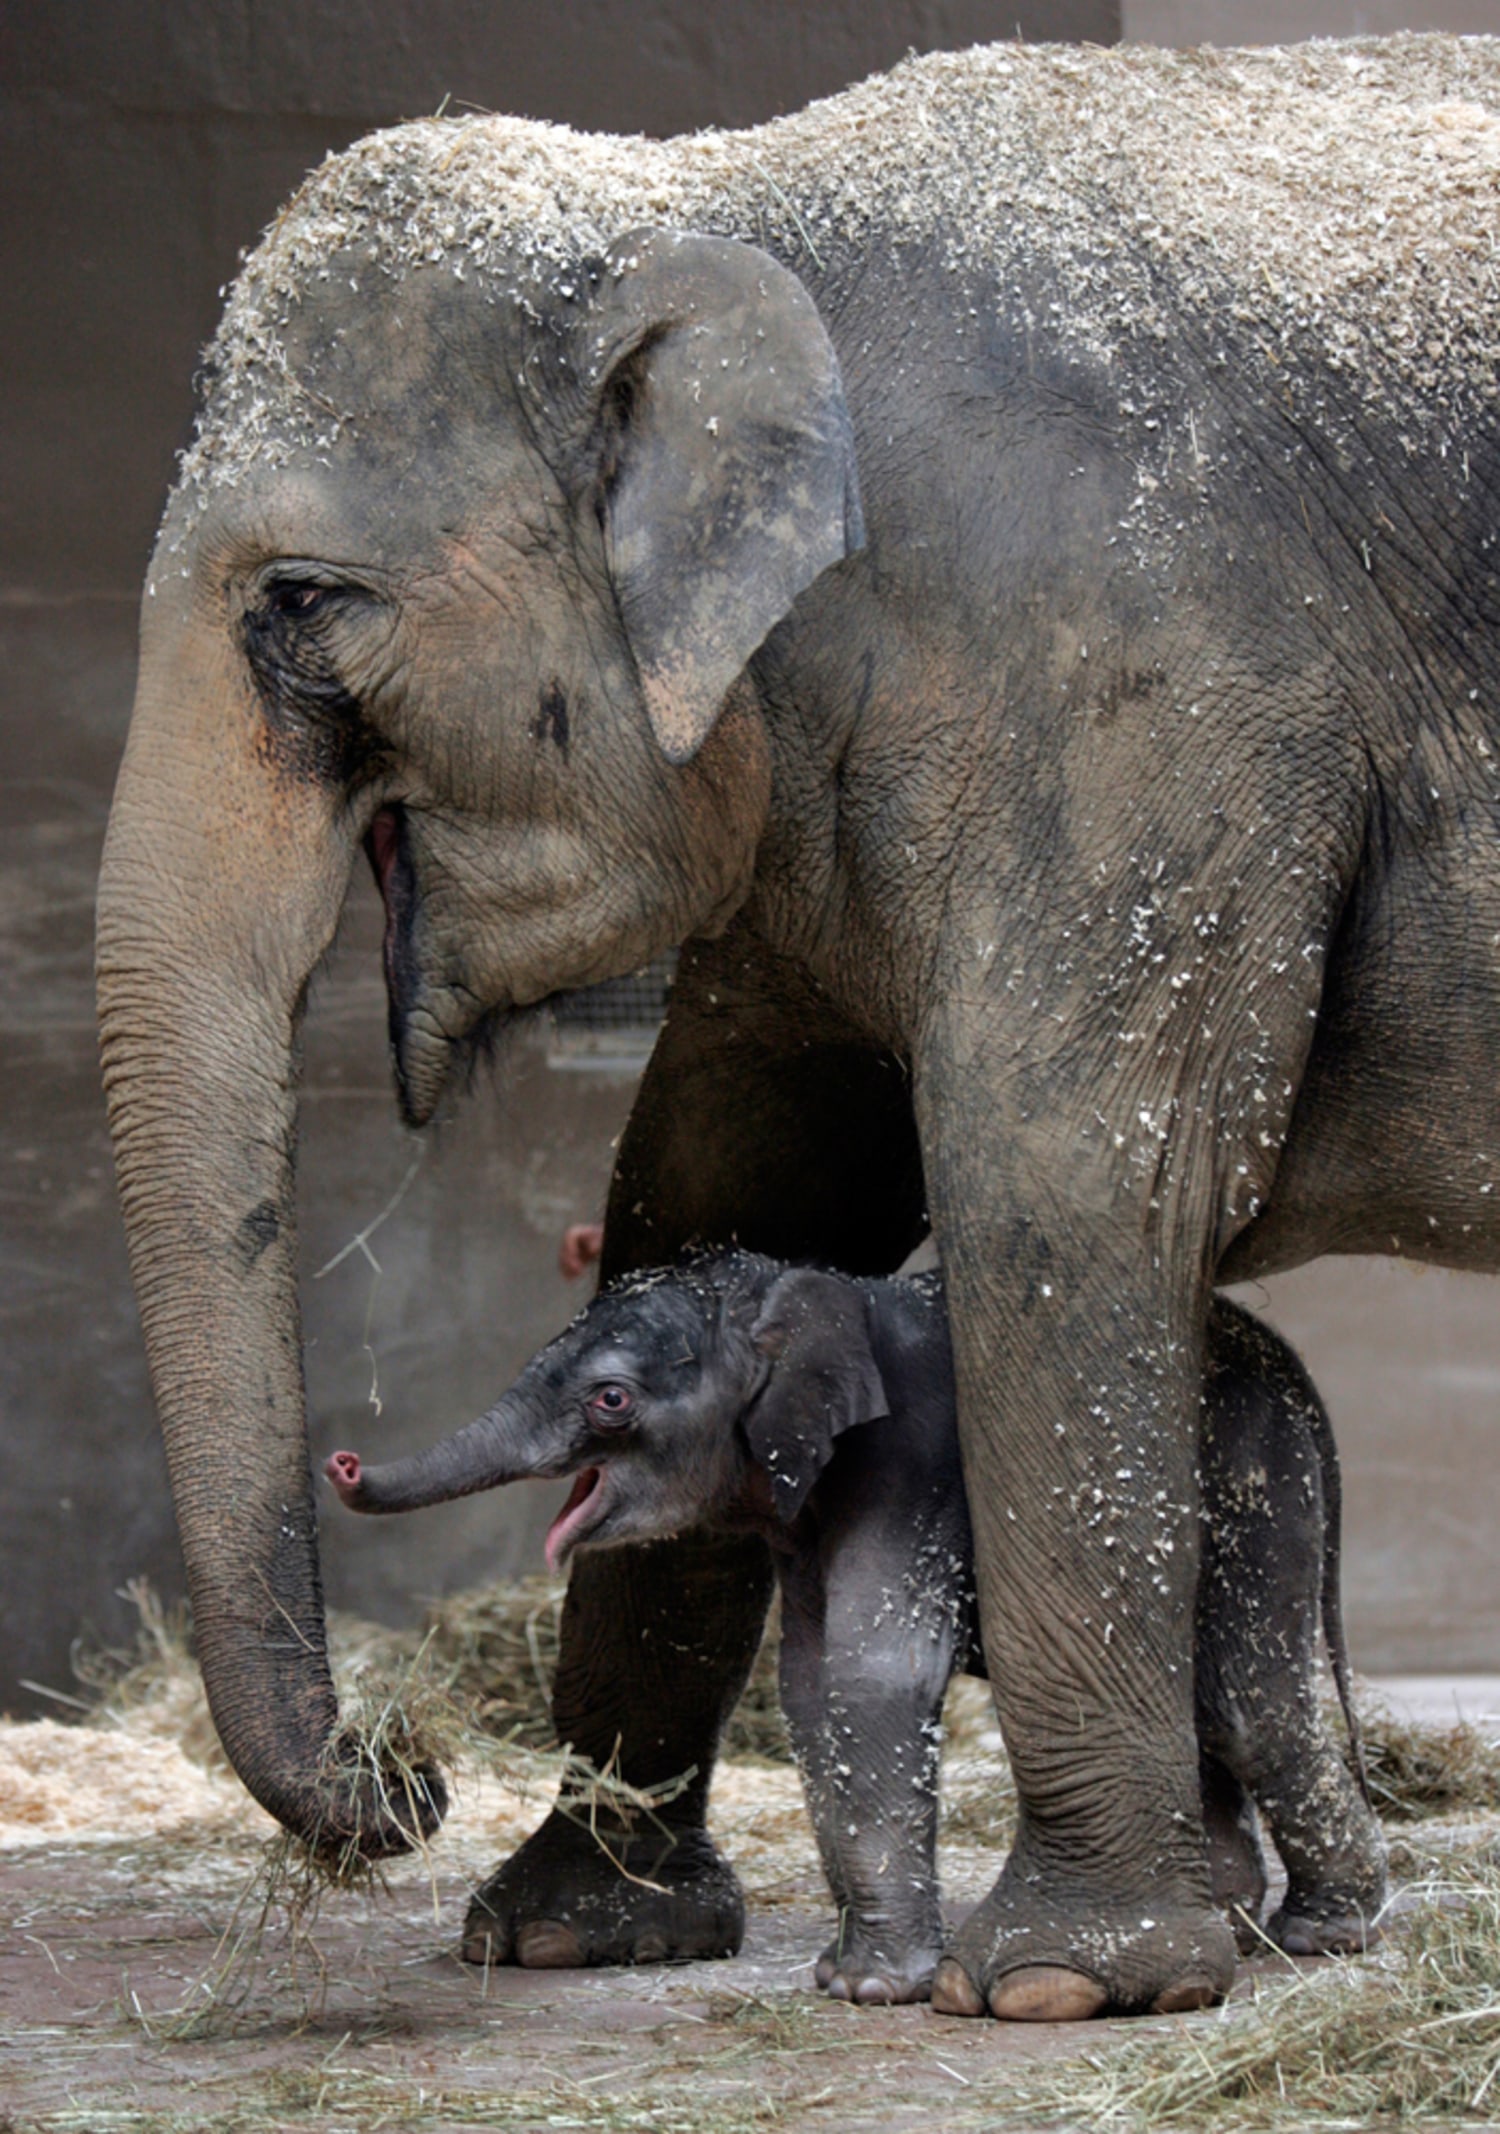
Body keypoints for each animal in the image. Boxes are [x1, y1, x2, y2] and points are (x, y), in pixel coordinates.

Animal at [326, 1256, 1387, 2002]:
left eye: (612, 1399)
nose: (341, 1462)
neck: (801, 1293)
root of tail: (1298, 1376)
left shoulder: (905, 1465)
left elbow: (872, 1672)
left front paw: (876, 1989)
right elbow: (805, 1683)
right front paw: (842, 1976)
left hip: (1258, 1478)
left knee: (1246, 1701)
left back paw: (1327, 1936)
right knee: (1205, 1700)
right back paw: (1235, 1923)